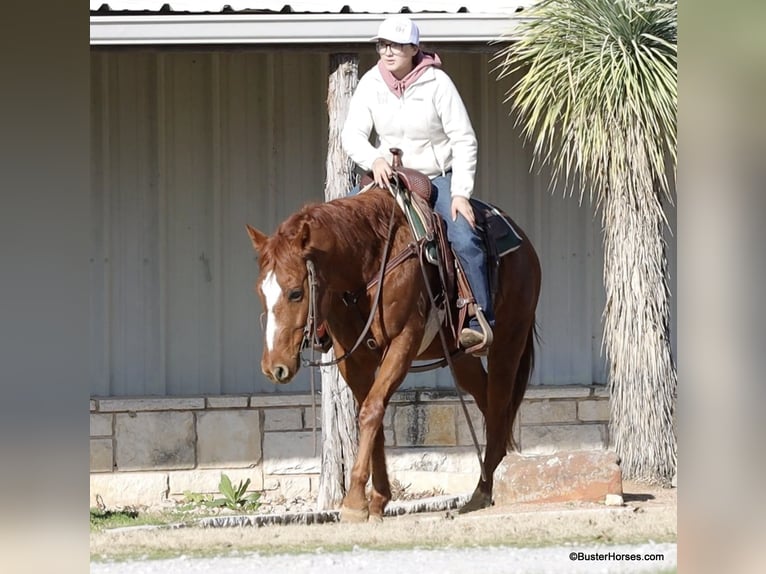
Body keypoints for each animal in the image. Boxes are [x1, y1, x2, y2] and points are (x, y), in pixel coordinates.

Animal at [246, 187, 540, 524]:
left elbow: (371, 411)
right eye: (260, 291)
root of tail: (524, 245)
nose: (274, 367)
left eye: (296, 292)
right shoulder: (354, 357)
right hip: (462, 356)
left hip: (508, 341)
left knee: (499, 404)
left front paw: (354, 501)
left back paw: (483, 490)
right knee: (488, 403)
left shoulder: (403, 342)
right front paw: (376, 500)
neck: (366, 265)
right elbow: (371, 417)